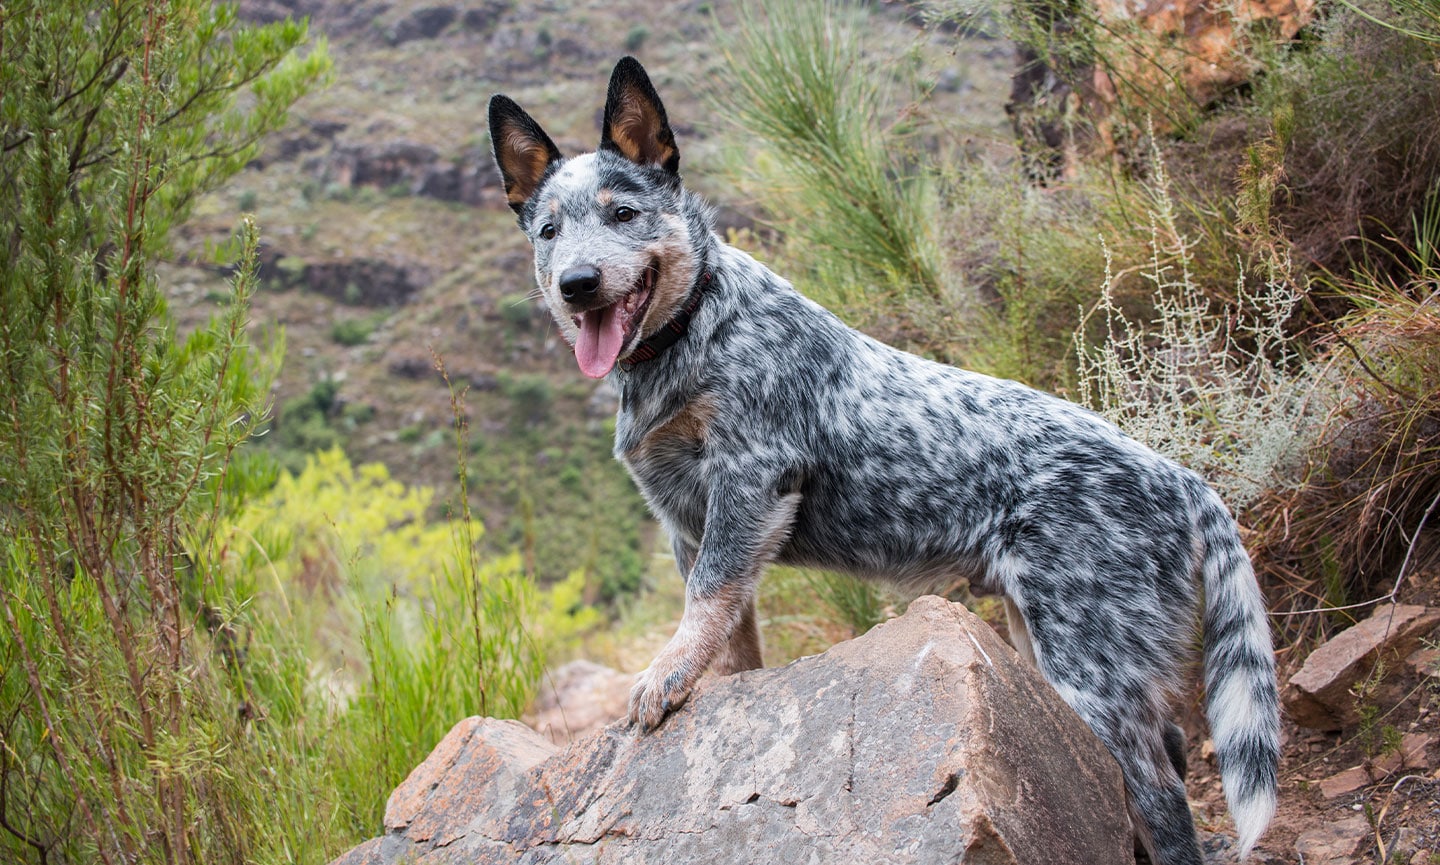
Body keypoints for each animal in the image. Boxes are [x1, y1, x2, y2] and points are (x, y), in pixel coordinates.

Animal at [489, 57, 1278, 857]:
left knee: (1163, 796)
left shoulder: (750, 479)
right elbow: (730, 636)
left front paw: (662, 677)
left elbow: (706, 599)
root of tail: (1183, 479)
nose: (577, 284)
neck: (695, 329)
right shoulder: (686, 520)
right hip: (1043, 644)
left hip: (1094, 667)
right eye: (549, 230)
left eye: (623, 214)